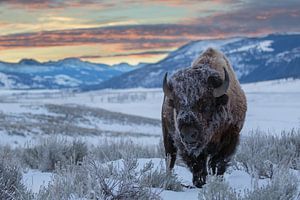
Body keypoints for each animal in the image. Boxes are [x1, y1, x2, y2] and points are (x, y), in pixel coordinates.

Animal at [162, 47, 246, 188]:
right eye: (177, 104)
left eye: (205, 103)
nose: (188, 134)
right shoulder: (185, 145)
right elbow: (198, 164)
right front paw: (200, 182)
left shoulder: (231, 138)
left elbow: (218, 162)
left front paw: (216, 181)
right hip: (167, 136)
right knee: (170, 159)